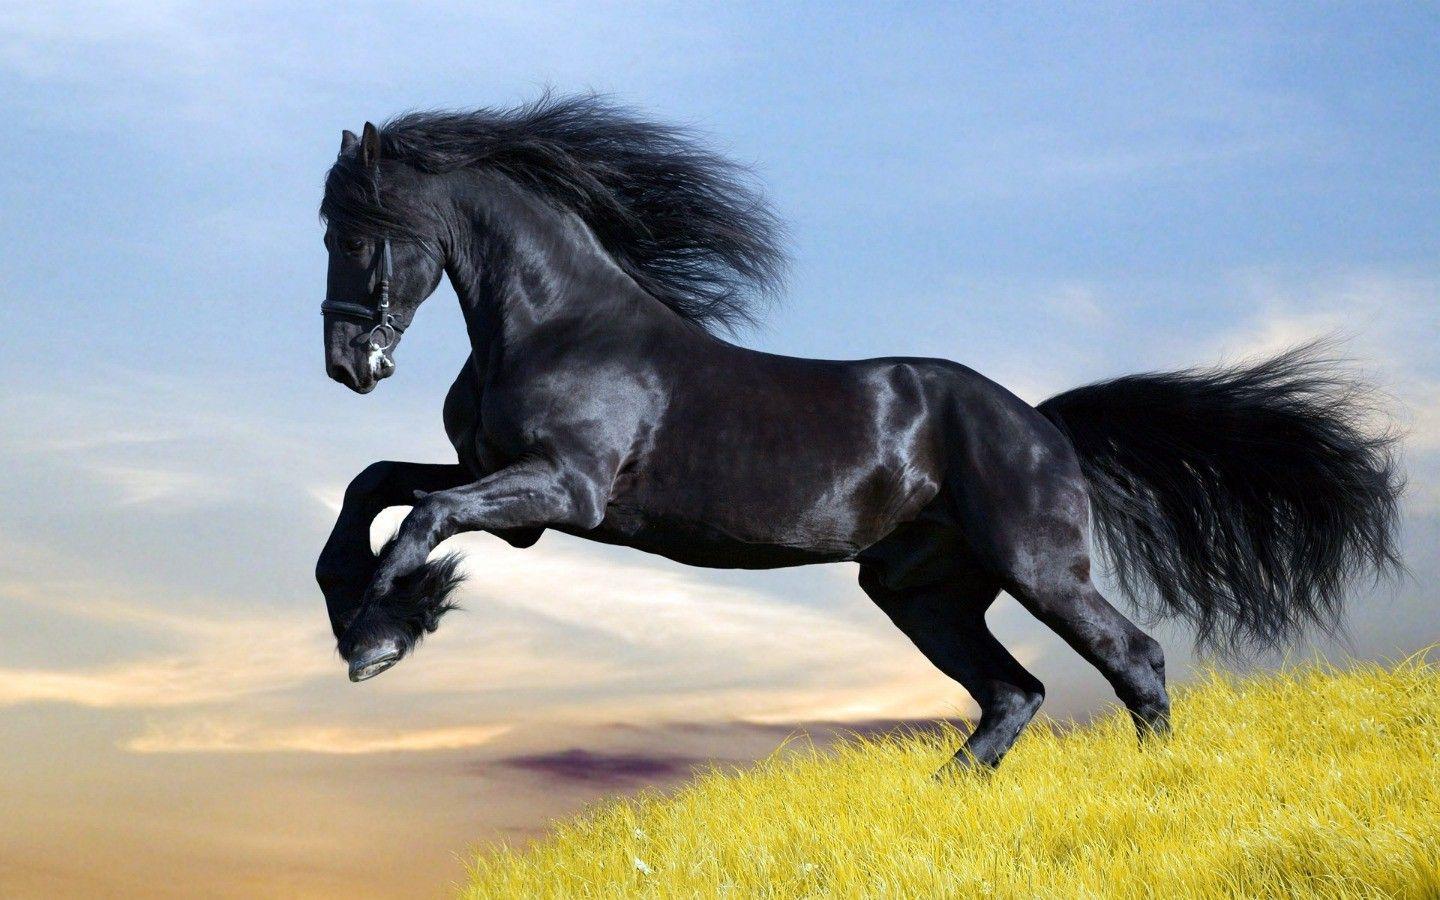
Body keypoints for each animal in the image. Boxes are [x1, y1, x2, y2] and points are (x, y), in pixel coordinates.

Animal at [315, 95, 1401, 771]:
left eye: (359, 232)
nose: (346, 364)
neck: (557, 322)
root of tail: (1042, 425)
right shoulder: (509, 490)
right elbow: (375, 485)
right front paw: (365, 613)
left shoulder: (562, 492)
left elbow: (422, 518)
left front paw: (381, 635)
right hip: (922, 592)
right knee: (1013, 693)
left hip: (1037, 568)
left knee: (1133, 659)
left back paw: (1152, 782)